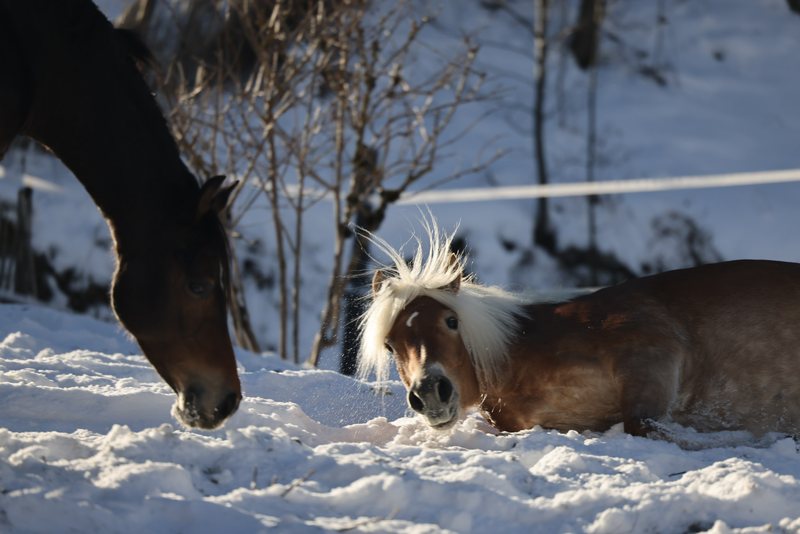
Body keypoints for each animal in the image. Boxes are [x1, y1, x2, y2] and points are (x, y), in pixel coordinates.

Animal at [358, 222, 800, 439]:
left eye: (451, 322)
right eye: (390, 345)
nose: (430, 394)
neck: (520, 353)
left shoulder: (651, 356)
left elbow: (648, 425)